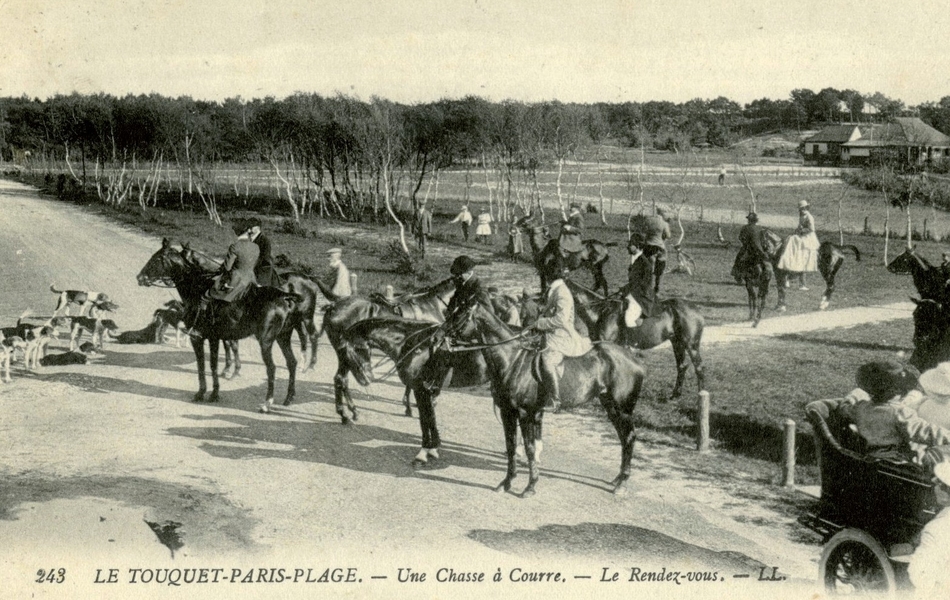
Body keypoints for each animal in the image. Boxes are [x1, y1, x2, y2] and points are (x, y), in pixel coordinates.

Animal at [139, 237, 308, 410]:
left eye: (156, 259)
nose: (140, 277)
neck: (198, 288)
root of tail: (286, 296)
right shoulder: (213, 338)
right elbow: (209, 364)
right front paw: (211, 392)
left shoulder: (198, 337)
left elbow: (205, 365)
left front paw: (206, 393)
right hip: (283, 336)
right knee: (292, 362)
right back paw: (288, 398)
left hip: (266, 341)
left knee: (272, 368)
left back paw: (267, 403)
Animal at [314, 276, 456, 422]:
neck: (432, 304)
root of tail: (334, 306)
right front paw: (418, 403)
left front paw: (409, 404)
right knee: (341, 379)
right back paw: (348, 413)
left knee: (341, 380)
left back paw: (349, 412)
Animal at [338, 316, 490, 466]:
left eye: (355, 348)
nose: (366, 379)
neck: (411, 344)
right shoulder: (424, 391)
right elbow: (428, 418)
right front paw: (432, 448)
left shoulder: (421, 390)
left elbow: (426, 419)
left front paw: (424, 452)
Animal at [444, 300, 648, 496]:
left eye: (460, 315)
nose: (441, 337)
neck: (513, 360)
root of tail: (634, 359)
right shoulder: (508, 413)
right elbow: (511, 447)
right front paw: (507, 482)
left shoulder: (525, 413)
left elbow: (530, 448)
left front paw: (530, 486)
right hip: (611, 407)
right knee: (624, 438)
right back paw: (618, 478)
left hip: (623, 409)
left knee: (629, 438)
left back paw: (622, 483)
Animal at [564, 278, 708, 400]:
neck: (601, 311)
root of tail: (695, 308)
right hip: (677, 343)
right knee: (682, 366)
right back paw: (675, 395)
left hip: (691, 344)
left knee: (699, 368)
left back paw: (701, 395)